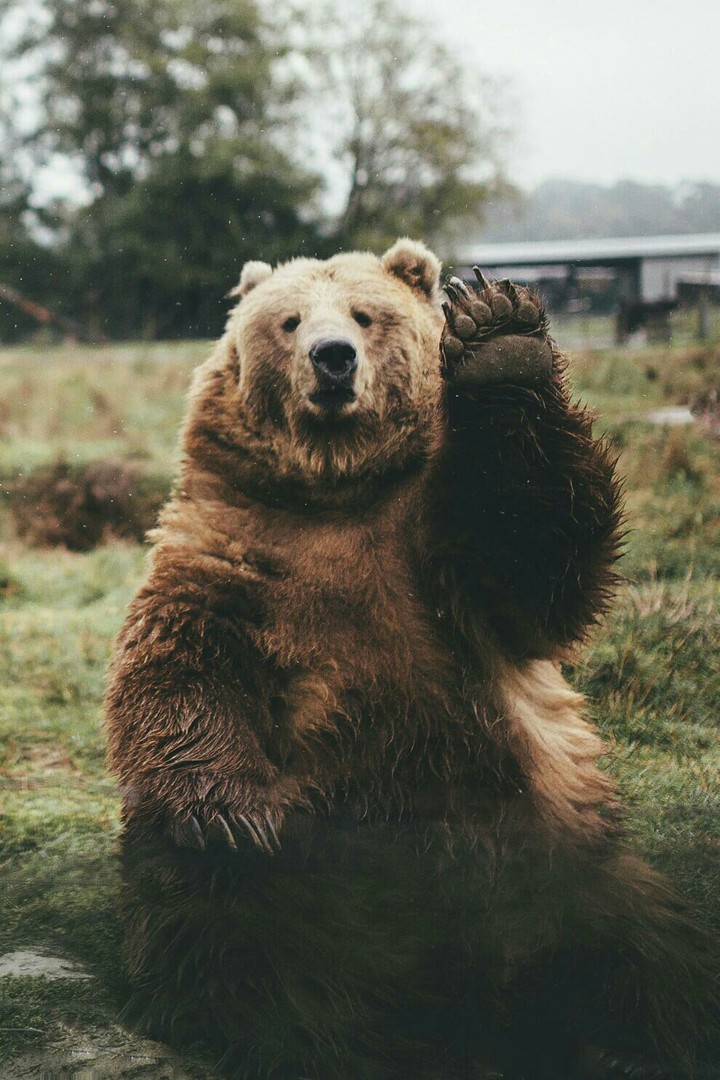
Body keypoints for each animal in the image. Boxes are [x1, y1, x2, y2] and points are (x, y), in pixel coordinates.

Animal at [105, 239, 717, 1079]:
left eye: (367, 314)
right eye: (289, 320)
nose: (333, 359)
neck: (336, 489)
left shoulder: (440, 558)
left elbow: (535, 553)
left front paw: (500, 335)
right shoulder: (234, 552)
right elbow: (180, 668)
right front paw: (228, 814)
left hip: (567, 857)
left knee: (648, 952)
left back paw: (628, 1044)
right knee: (224, 928)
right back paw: (302, 1032)